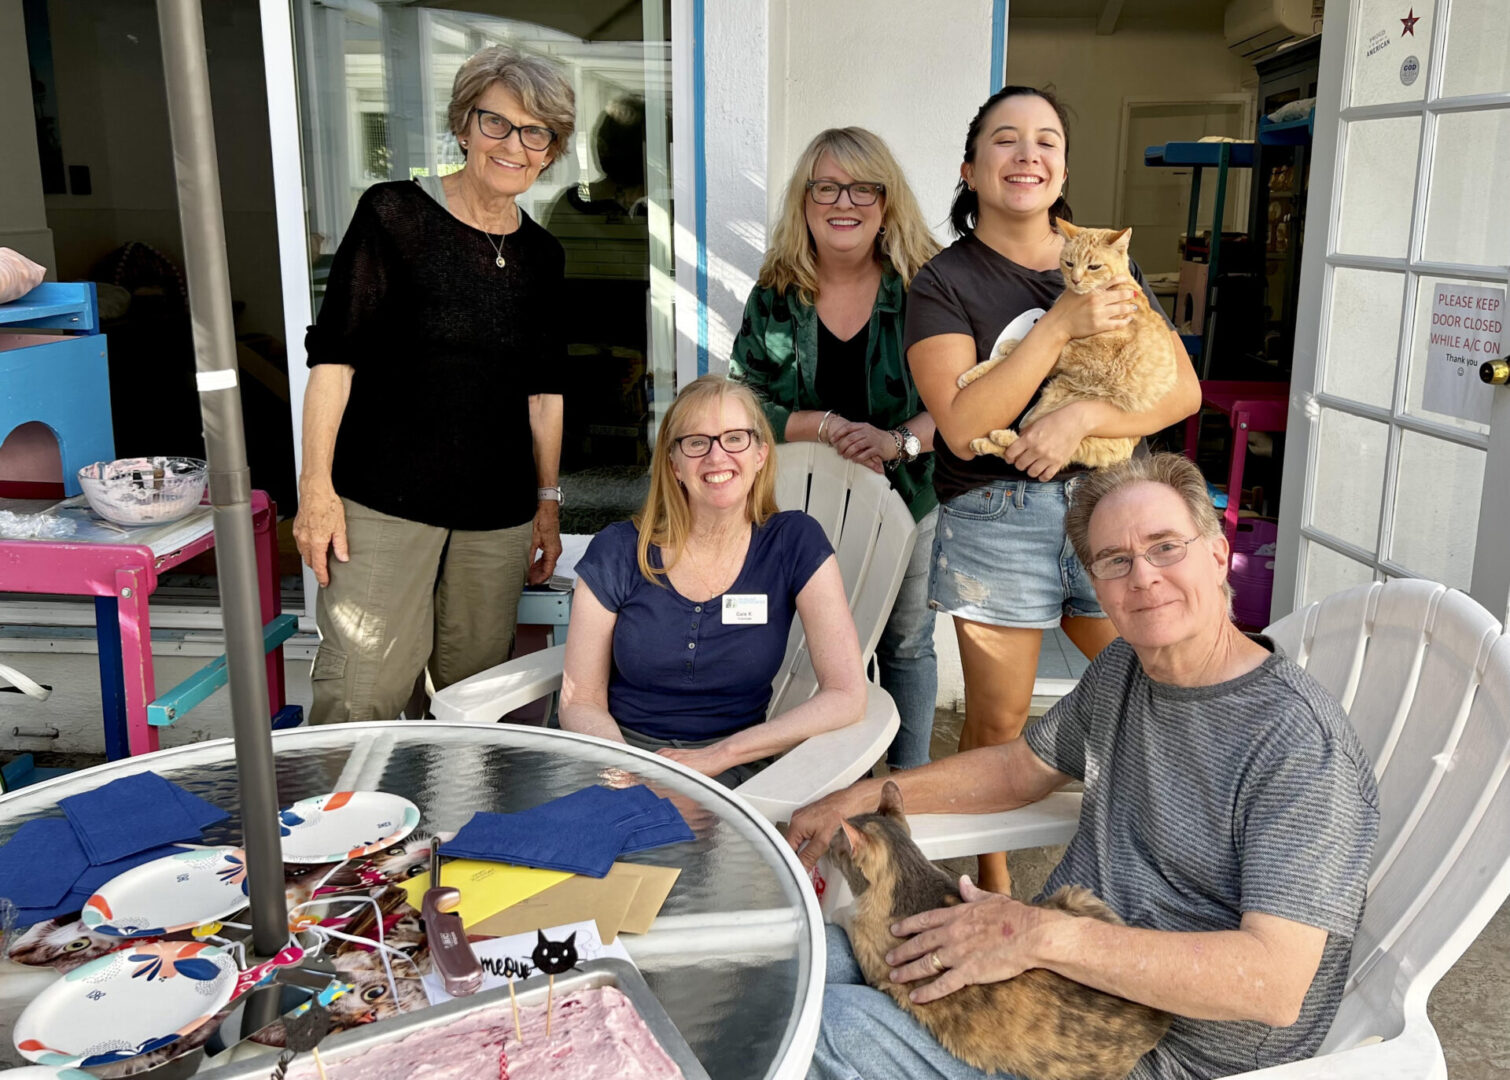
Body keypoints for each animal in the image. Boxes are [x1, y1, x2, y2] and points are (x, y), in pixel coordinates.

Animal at [833, 785, 1171, 1080]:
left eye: (837, 842)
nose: (829, 842)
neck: (911, 879)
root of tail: (1156, 1018)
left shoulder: (873, 958)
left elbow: (845, 916)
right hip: (1079, 896)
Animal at [954, 220, 1177, 468]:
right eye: (1069, 263)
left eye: (1094, 266)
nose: (1075, 280)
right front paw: (1009, 346)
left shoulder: (1085, 353)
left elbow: (1011, 357)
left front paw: (979, 368)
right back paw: (985, 442)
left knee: (1022, 447)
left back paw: (997, 438)